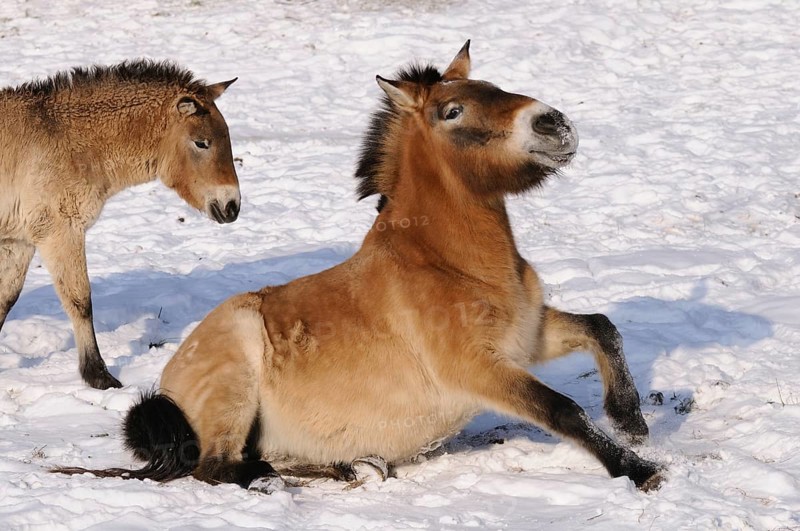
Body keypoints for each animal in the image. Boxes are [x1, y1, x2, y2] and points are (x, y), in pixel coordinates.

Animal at [0, 60, 240, 390]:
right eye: (201, 143)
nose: (232, 206)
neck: (64, 139)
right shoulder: (60, 233)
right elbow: (80, 301)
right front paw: (98, 375)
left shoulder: (20, 241)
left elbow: (5, 299)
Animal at [56, 42, 663, 491]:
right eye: (452, 111)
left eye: (493, 87)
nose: (555, 125)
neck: (447, 263)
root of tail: (171, 381)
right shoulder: (480, 369)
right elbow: (561, 409)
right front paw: (639, 470)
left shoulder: (528, 339)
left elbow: (602, 327)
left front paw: (631, 422)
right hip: (235, 382)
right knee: (216, 468)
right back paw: (277, 480)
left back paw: (355, 464)